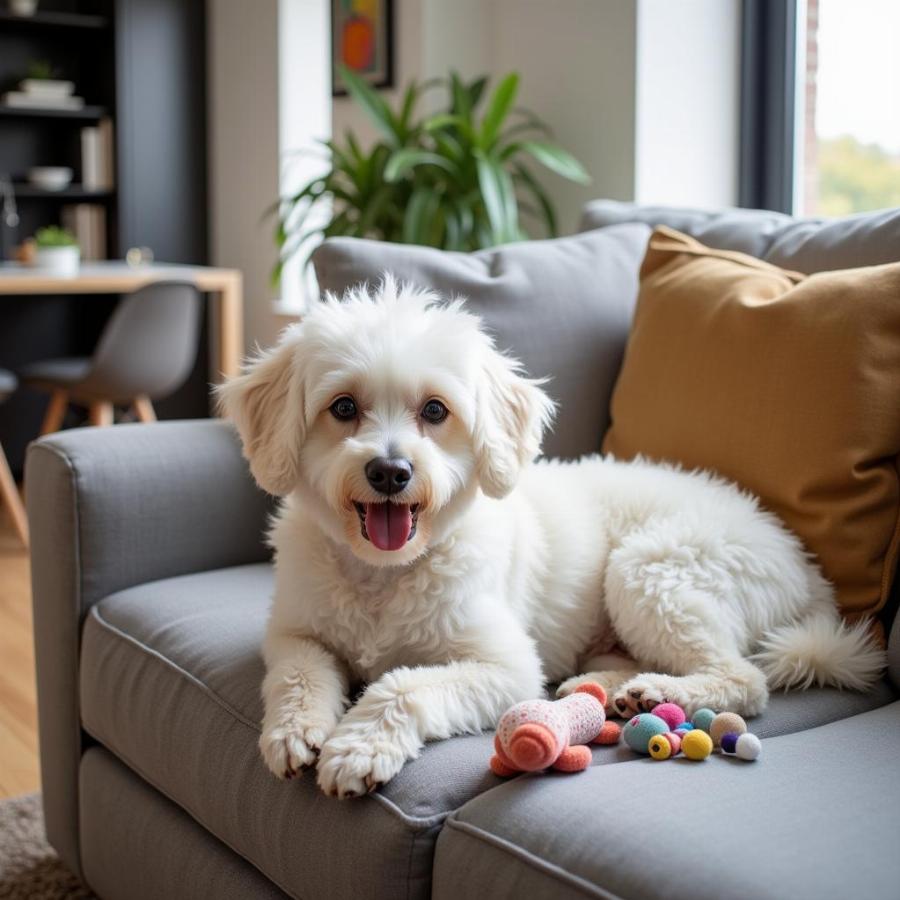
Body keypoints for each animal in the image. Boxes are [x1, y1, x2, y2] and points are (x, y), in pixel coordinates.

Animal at [220, 278, 884, 800]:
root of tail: (806, 570)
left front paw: (359, 747)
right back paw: (622, 695)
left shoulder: (506, 667)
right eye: (343, 407)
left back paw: (660, 690)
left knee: (745, 679)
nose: (390, 472)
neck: (385, 573)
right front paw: (292, 732)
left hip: (651, 569)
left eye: (435, 411)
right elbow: (298, 674)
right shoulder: (295, 633)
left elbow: (402, 684)